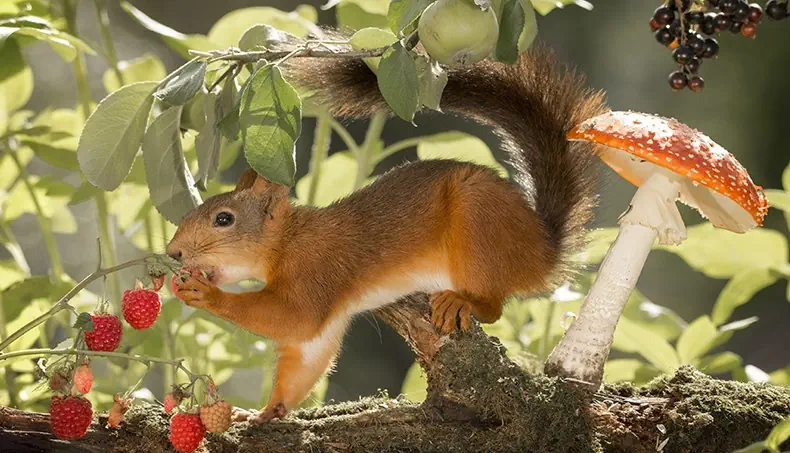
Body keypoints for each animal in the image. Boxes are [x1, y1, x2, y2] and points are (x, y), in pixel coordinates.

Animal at [167, 44, 607, 424]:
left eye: (224, 219)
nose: (173, 253)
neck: (289, 241)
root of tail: (543, 251)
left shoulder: (317, 271)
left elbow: (293, 319)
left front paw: (206, 294)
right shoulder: (325, 323)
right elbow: (306, 356)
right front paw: (265, 412)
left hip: (479, 222)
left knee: (494, 305)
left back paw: (463, 302)